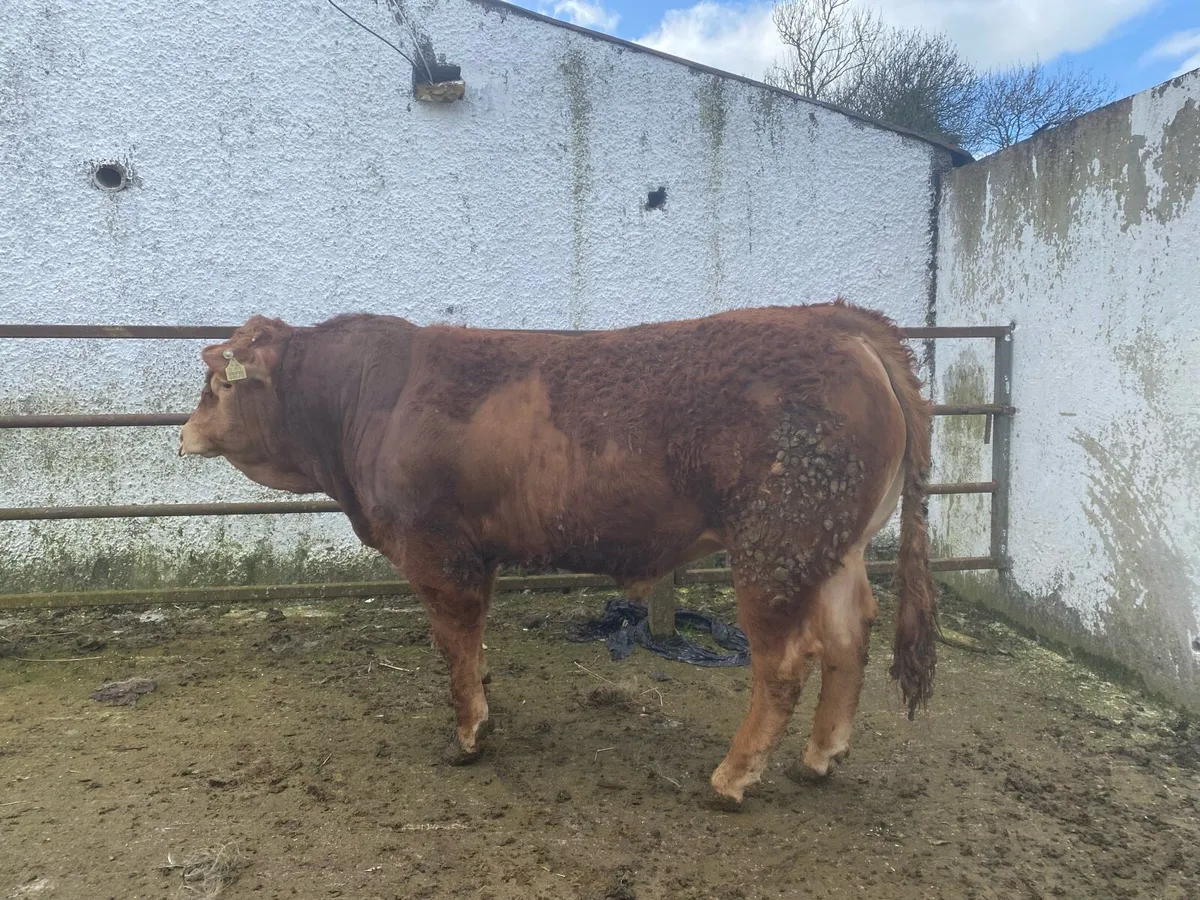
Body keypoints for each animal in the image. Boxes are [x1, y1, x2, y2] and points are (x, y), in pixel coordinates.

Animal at [178, 300, 937, 809]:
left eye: (218, 384)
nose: (183, 433)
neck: (364, 402)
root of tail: (835, 321)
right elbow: (474, 643)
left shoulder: (435, 548)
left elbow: (454, 640)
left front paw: (469, 734)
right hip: (833, 546)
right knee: (848, 637)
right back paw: (819, 759)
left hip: (775, 546)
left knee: (783, 661)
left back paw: (732, 778)